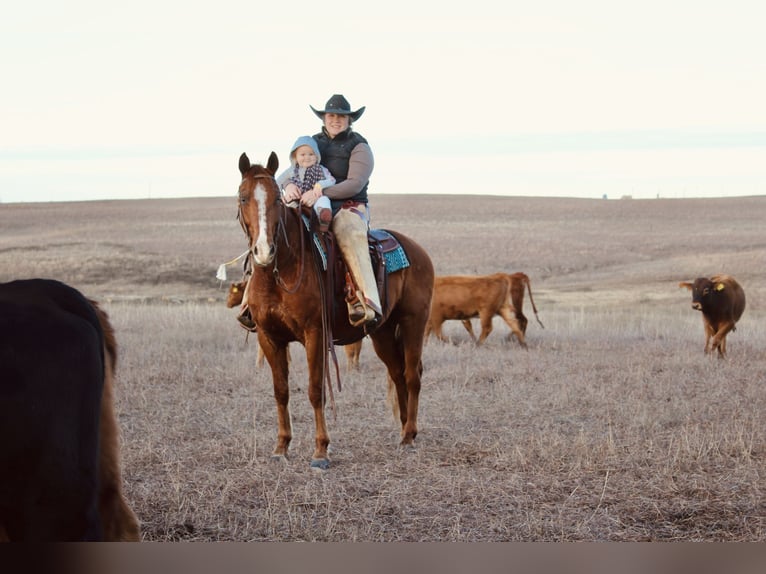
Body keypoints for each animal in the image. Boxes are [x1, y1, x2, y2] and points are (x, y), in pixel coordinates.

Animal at [237, 153, 436, 472]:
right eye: (243, 197)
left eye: (276, 199)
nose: (264, 251)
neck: (282, 273)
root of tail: (416, 250)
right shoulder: (268, 337)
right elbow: (281, 391)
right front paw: (281, 447)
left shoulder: (315, 335)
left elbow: (316, 389)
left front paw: (321, 451)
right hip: (381, 332)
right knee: (397, 373)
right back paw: (405, 428)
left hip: (413, 323)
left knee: (412, 374)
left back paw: (408, 436)